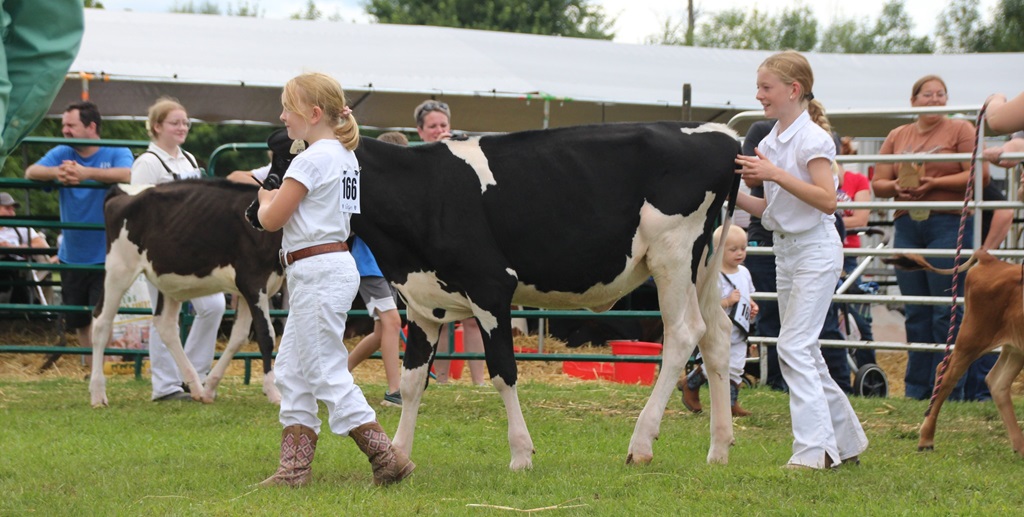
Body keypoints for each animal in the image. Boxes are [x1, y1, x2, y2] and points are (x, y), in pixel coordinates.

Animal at [88, 179, 285, 407]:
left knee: (165, 326)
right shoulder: (253, 281)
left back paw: (197, 388)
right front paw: (273, 392)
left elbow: (238, 337)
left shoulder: (248, 291)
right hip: (119, 269)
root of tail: (121, 189)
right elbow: (266, 335)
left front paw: (210, 387)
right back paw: (98, 394)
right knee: (101, 322)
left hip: (166, 278)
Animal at [351, 121, 741, 470]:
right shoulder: (423, 303)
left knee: (684, 334)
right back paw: (719, 448)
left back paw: (642, 443)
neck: (424, 191)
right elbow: (412, 381)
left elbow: (503, 372)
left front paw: (521, 454)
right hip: (700, 267)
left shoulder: (491, 287)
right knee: (717, 334)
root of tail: (722, 134)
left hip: (673, 254)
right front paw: (399, 454)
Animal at [884, 251, 1024, 456]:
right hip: (972, 337)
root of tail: (991, 261)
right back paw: (926, 439)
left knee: (997, 381)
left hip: (1014, 347)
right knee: (946, 373)